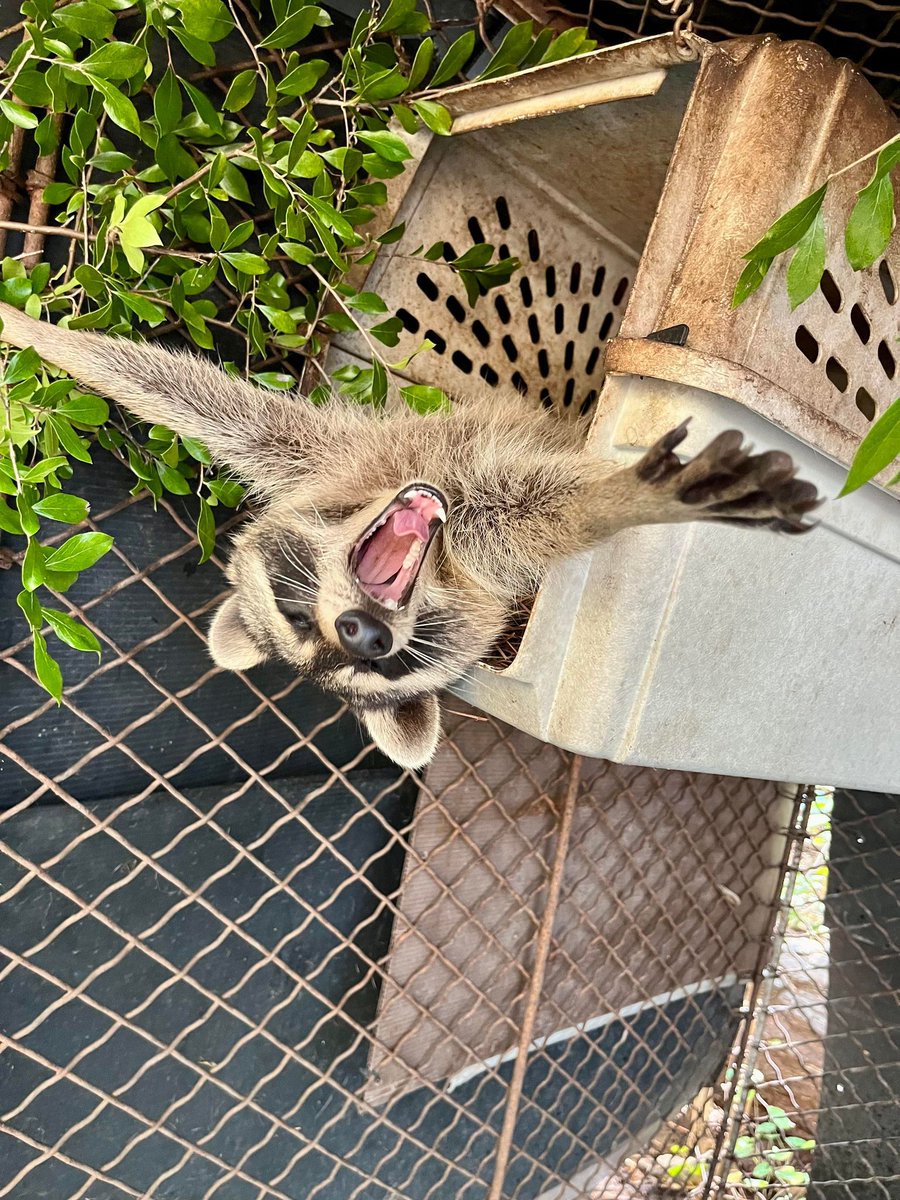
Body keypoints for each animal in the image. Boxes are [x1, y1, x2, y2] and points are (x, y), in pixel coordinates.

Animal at [0, 301, 821, 768]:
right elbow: (564, 514)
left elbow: (193, 396)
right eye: (384, 668)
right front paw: (632, 497)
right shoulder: (483, 534)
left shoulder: (327, 460)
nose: (363, 634)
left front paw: (33, 330)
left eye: (298, 612)